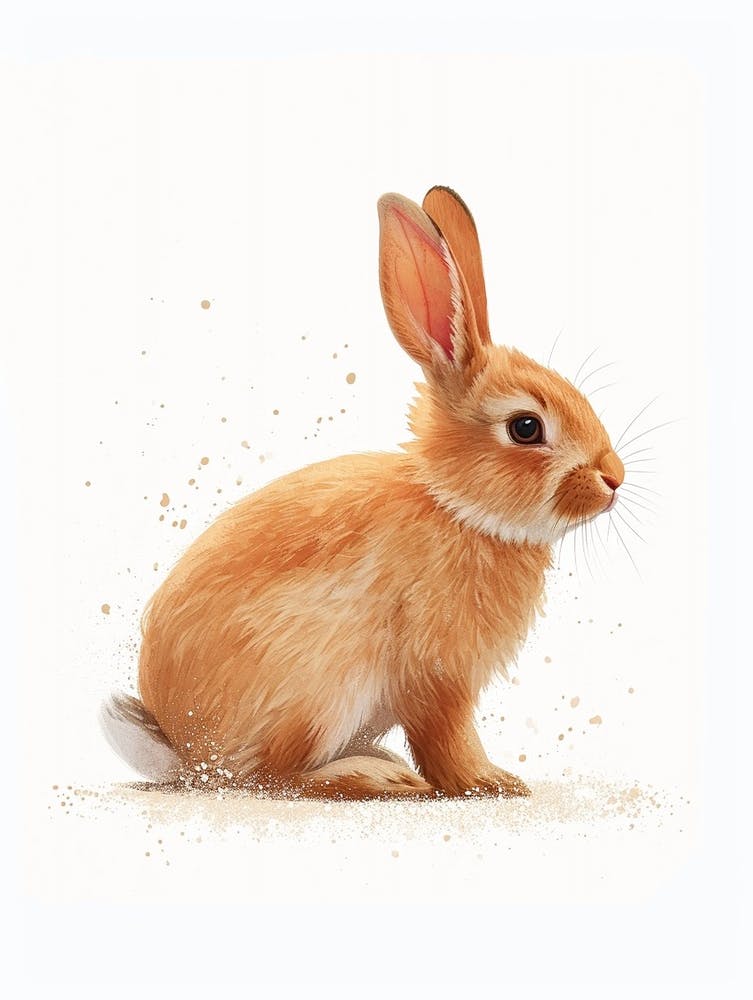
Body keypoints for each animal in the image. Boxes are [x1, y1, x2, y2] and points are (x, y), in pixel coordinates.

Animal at [101, 186, 625, 799]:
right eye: (526, 428)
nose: (614, 479)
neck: (455, 508)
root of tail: (188, 754)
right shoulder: (436, 676)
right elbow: (447, 739)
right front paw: (492, 783)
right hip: (316, 689)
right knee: (272, 777)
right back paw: (378, 776)